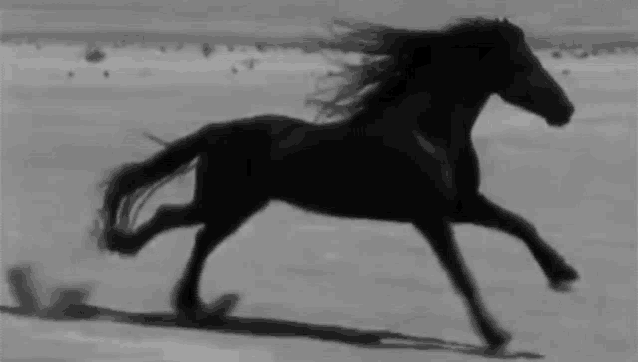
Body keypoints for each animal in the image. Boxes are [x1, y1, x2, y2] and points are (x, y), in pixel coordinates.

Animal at [94, 17, 580, 354]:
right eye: (524, 63)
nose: (566, 111)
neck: (429, 131)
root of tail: (218, 131)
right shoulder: (432, 217)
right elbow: (462, 275)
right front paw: (497, 336)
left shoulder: (463, 205)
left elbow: (521, 225)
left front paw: (563, 275)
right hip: (225, 202)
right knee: (173, 220)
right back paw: (135, 255)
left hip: (239, 207)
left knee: (201, 238)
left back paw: (195, 305)